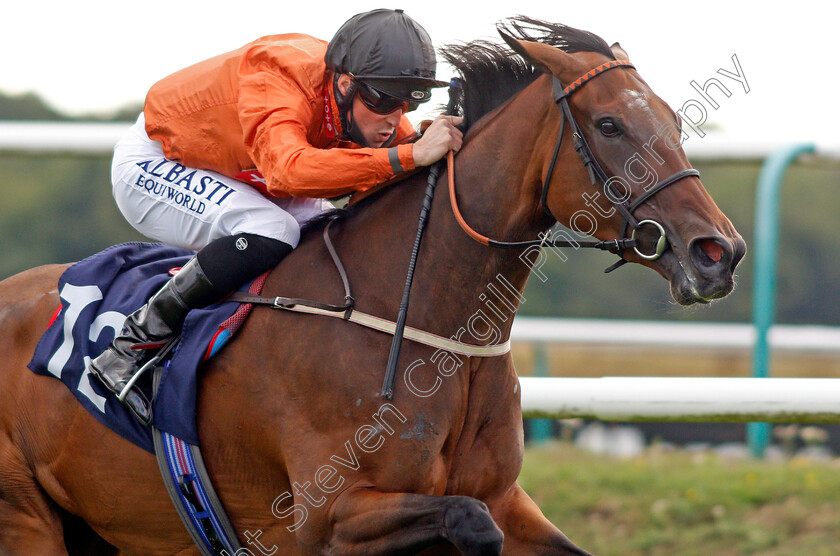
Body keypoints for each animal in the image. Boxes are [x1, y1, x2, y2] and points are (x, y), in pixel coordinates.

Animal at [1, 17, 748, 556]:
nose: (720, 252)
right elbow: (470, 523)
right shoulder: (326, 516)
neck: (430, 331)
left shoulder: (508, 499)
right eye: (610, 124)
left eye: (673, 121)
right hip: (26, 518)